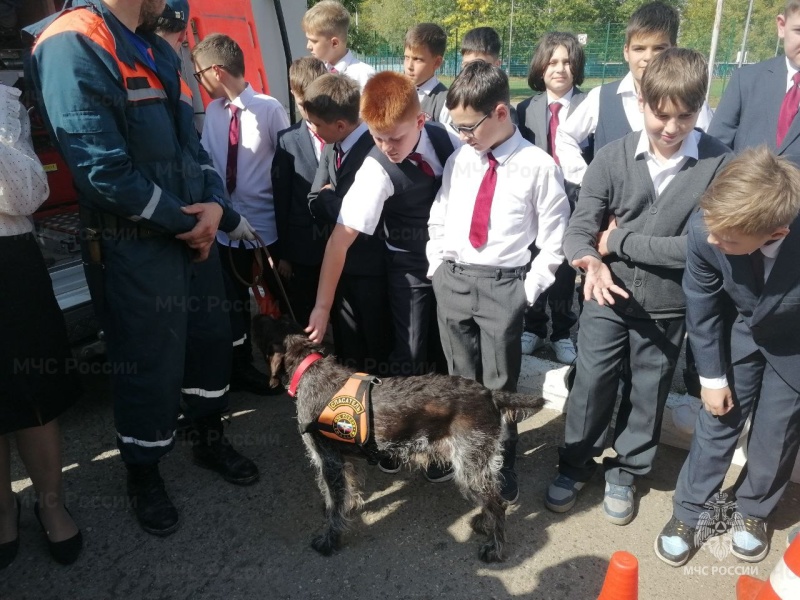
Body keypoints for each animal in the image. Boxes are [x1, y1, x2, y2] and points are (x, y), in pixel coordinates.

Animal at [253, 314, 548, 564]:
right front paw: (347, 507)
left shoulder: (329, 460)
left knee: (497, 504)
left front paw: (329, 539)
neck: (309, 370)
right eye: (273, 318)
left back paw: (494, 548)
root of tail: (490, 394)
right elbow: (345, 491)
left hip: (469, 464)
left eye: (264, 325)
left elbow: (335, 503)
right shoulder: (346, 460)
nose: (255, 314)